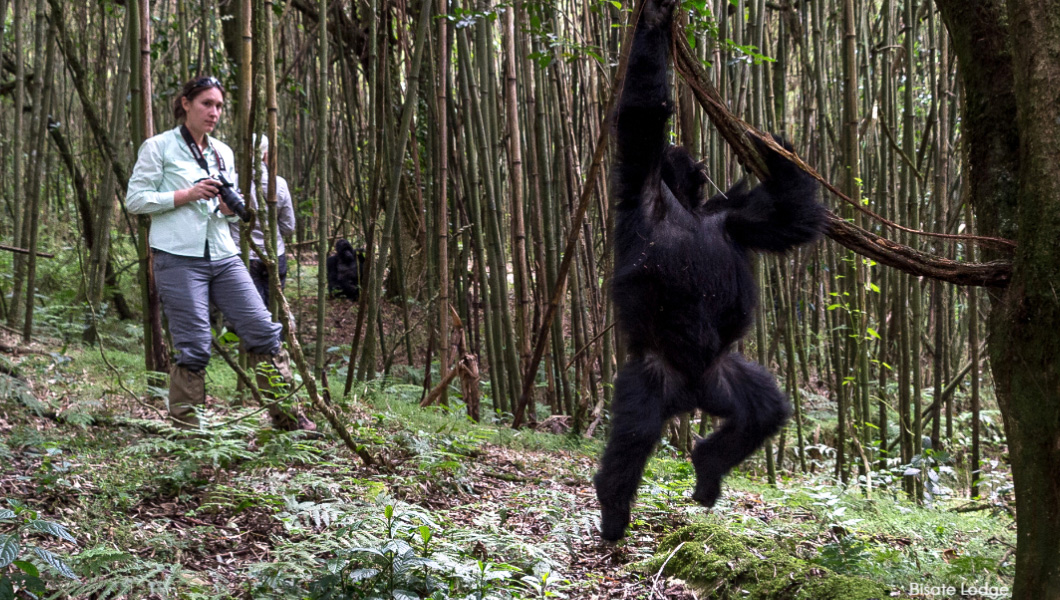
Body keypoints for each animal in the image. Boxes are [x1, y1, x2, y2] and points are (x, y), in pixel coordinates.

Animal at [597, 0, 826, 546]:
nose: (700, 171)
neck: (687, 210)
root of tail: (690, 395)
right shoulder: (641, 183)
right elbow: (643, 114)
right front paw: (655, 19)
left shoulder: (735, 218)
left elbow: (789, 219)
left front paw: (772, 147)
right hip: (652, 373)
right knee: (634, 435)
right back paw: (614, 510)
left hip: (724, 374)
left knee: (764, 411)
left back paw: (707, 467)